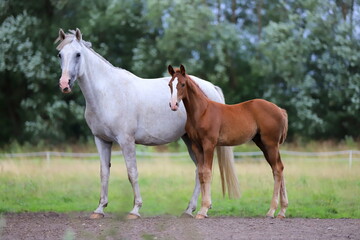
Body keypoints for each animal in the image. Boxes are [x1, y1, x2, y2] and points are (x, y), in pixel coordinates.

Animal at [167, 64, 288, 218]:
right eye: (170, 84)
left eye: (182, 84)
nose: (173, 105)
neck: (202, 112)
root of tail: (280, 110)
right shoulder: (196, 146)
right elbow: (201, 173)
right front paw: (203, 208)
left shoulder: (209, 144)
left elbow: (207, 172)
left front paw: (203, 210)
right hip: (264, 144)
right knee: (279, 168)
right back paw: (282, 211)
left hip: (270, 144)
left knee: (277, 170)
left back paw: (271, 211)